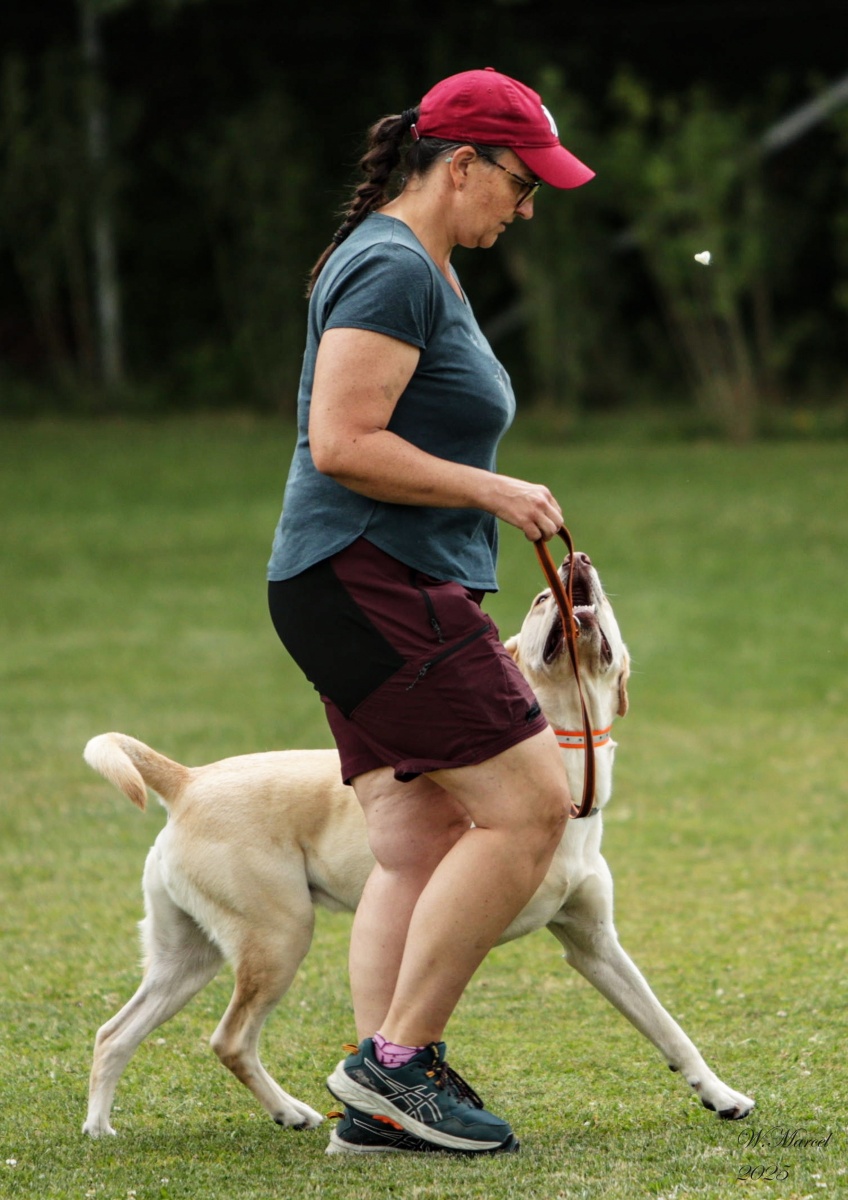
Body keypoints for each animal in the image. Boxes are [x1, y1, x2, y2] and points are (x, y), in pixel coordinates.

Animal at [81, 551, 754, 1137]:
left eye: (604, 605)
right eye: (541, 599)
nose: (574, 559)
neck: (564, 764)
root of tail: (188, 781)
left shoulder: (594, 945)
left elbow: (667, 1026)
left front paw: (721, 1096)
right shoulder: (460, 919)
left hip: (188, 957)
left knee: (115, 1033)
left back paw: (101, 1128)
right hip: (278, 938)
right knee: (228, 1039)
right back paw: (290, 1110)